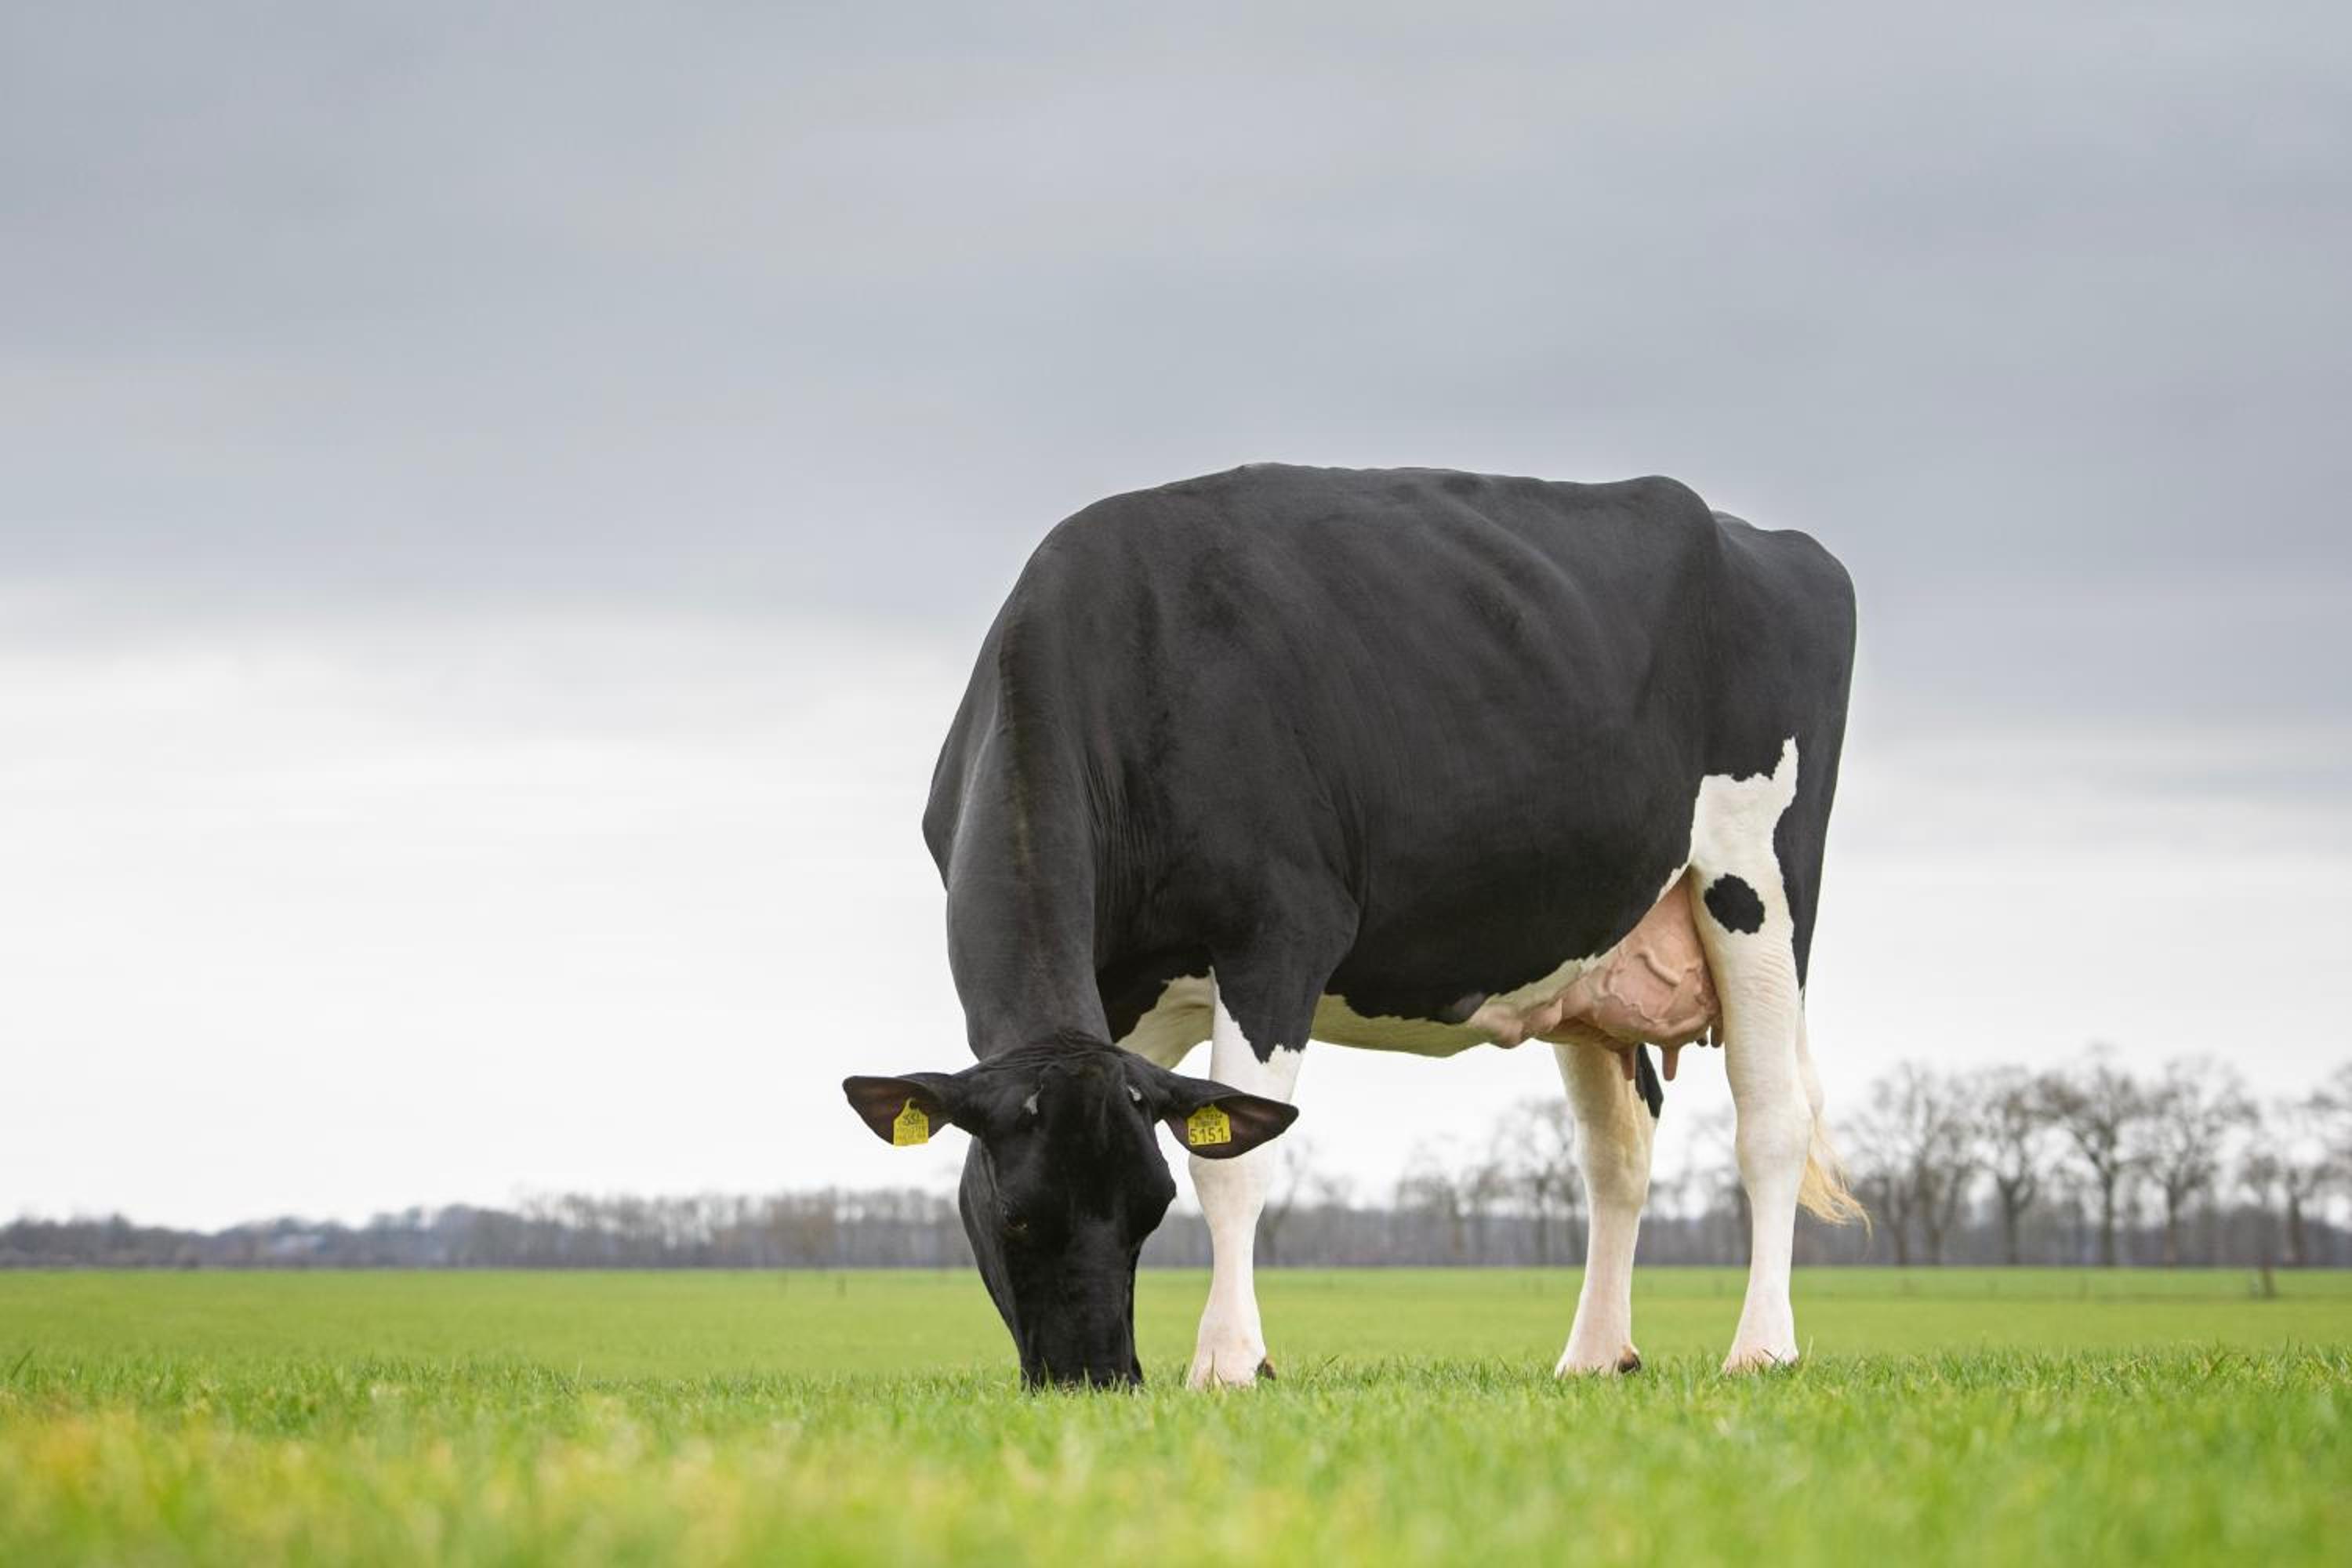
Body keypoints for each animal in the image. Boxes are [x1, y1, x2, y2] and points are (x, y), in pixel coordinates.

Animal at [843, 463, 1861, 1387]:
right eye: (1017, 1214)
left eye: (1148, 1208)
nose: (1099, 1377)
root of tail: (1765, 537)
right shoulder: (1127, 996)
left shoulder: (1280, 933)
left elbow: (1235, 1166)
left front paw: (1230, 1360)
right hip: (1596, 956)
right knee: (1618, 1151)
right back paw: (1594, 1354)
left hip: (1759, 886)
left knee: (1770, 1116)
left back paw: (1761, 1347)